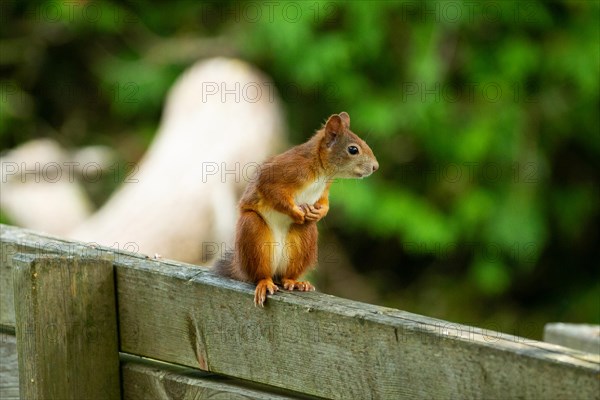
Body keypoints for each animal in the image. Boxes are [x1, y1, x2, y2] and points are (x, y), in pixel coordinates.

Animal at [213, 112, 378, 306]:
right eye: (353, 149)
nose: (375, 167)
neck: (322, 172)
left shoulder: (324, 190)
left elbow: (324, 203)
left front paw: (319, 212)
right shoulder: (283, 172)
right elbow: (274, 193)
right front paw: (297, 212)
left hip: (304, 239)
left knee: (287, 273)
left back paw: (295, 282)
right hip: (252, 233)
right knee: (259, 273)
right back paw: (264, 282)